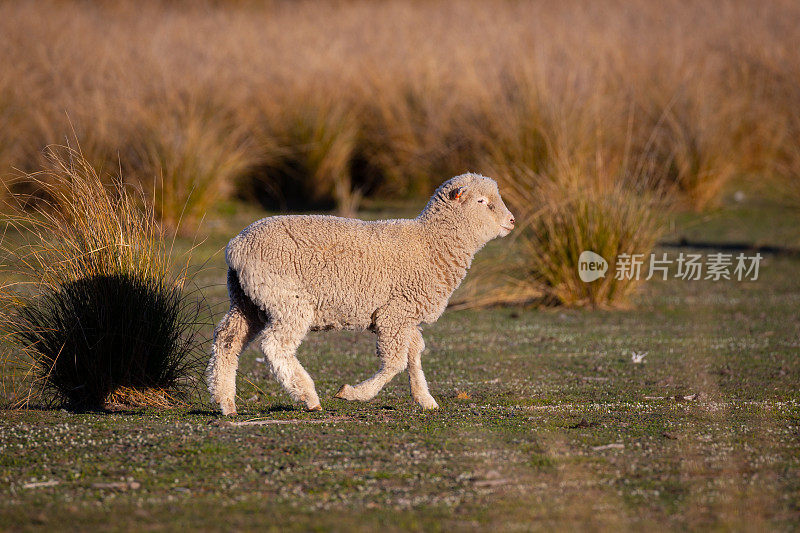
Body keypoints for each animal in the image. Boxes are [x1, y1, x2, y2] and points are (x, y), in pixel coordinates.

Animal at [206, 172, 516, 414]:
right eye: (482, 202)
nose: (512, 221)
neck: (431, 243)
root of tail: (236, 246)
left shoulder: (407, 317)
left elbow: (414, 354)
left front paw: (424, 399)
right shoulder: (395, 313)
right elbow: (395, 361)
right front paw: (353, 393)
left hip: (247, 300)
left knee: (227, 340)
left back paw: (226, 402)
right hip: (286, 299)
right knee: (275, 345)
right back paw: (308, 396)